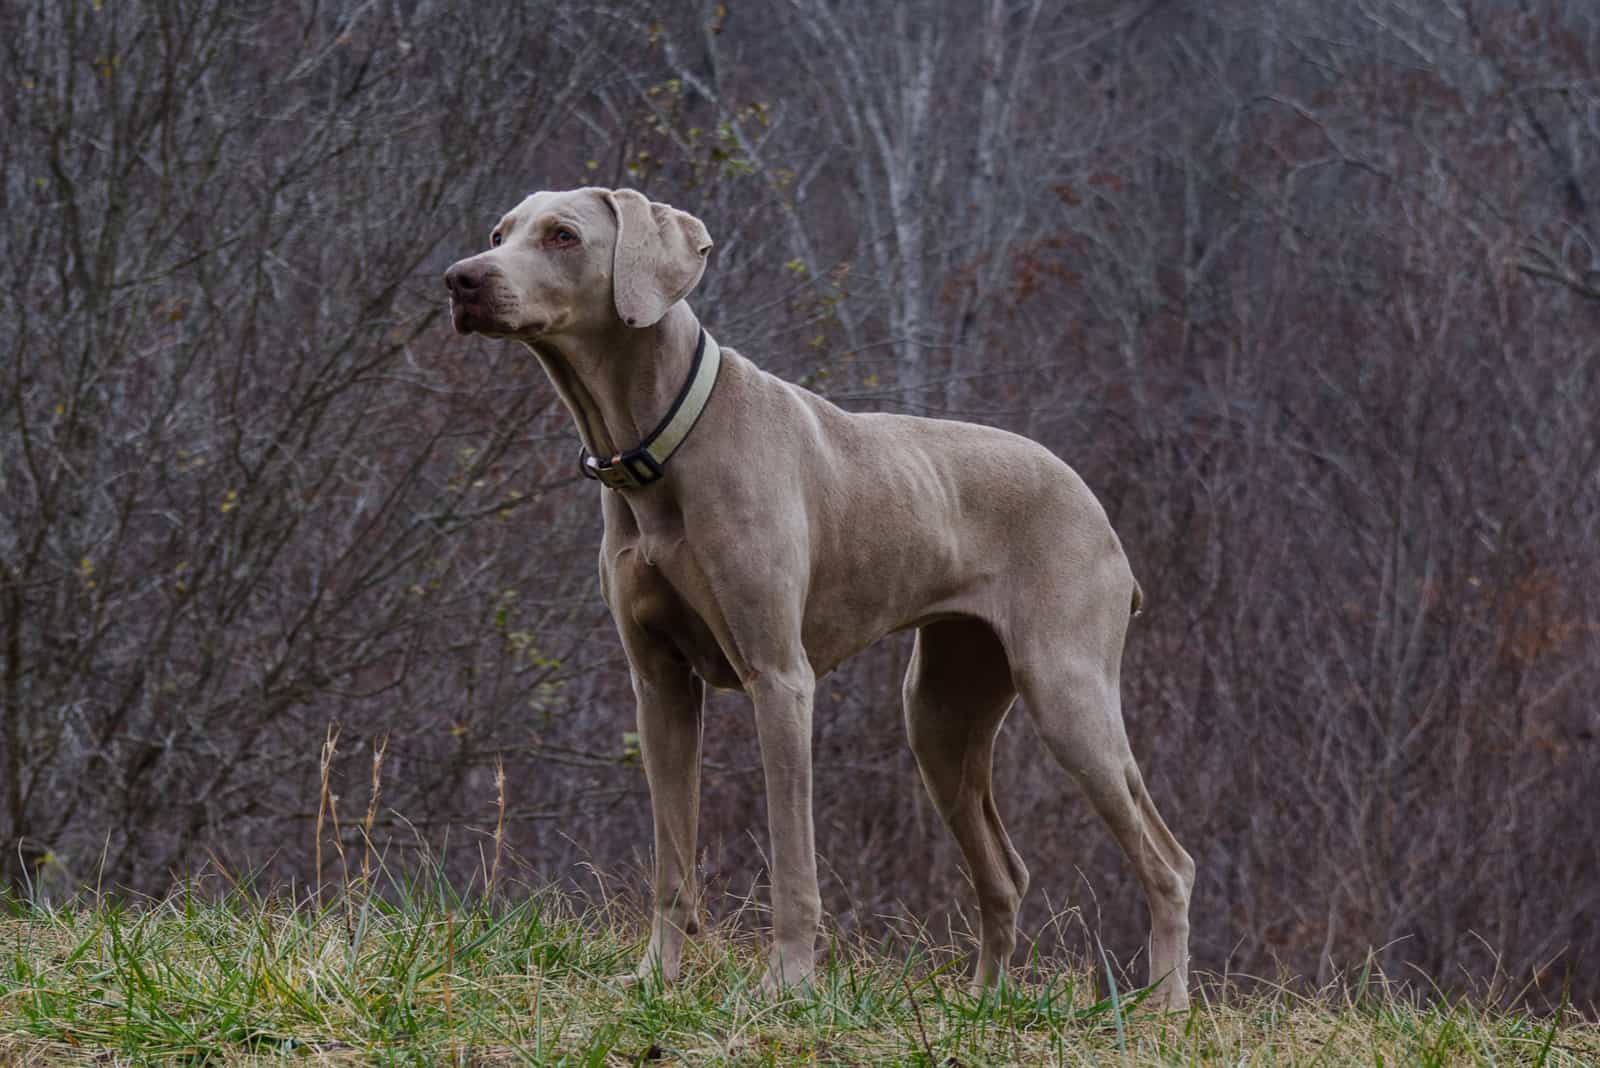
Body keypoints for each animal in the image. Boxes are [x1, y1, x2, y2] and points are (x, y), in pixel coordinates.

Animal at [444, 185, 1196, 1010]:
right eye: (499, 234)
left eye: (563, 236)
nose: (461, 279)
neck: (662, 445)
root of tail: (1098, 510)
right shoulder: (659, 687)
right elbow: (672, 855)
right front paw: (654, 977)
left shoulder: (780, 680)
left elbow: (793, 860)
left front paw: (787, 984)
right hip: (940, 712)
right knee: (1006, 872)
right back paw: (980, 1002)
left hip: (1066, 693)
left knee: (1168, 861)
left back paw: (1165, 1006)